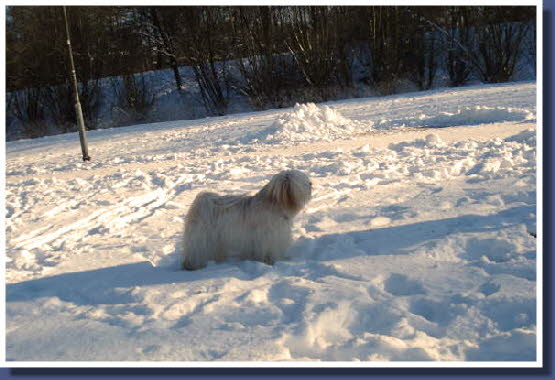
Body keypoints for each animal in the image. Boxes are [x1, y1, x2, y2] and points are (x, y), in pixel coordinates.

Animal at [182, 169, 312, 270]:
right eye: (302, 182)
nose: (311, 183)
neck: (274, 204)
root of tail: (200, 203)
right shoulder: (267, 237)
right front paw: (269, 262)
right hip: (202, 237)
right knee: (196, 251)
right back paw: (194, 265)